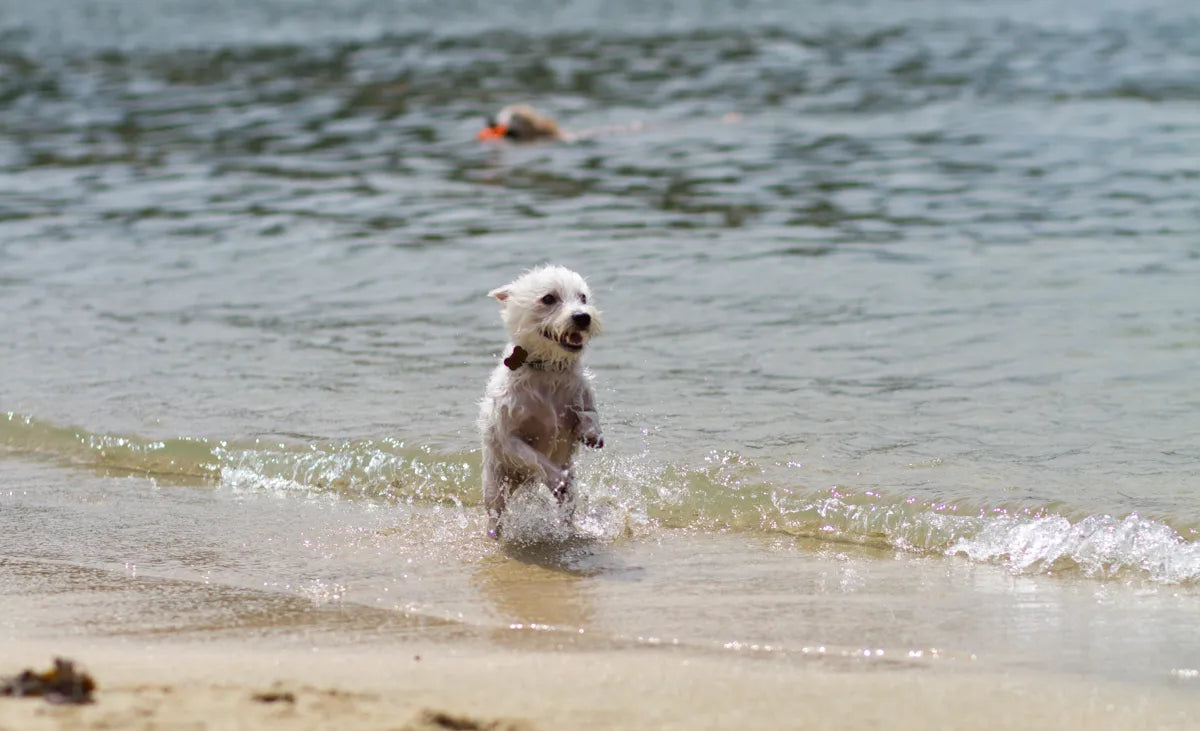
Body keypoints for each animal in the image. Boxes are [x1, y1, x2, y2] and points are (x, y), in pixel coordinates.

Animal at [477, 265, 604, 532]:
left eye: (583, 297)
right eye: (548, 299)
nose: (583, 317)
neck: (547, 369)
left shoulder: (580, 391)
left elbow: (589, 410)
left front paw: (591, 431)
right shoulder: (509, 437)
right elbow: (534, 456)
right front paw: (557, 477)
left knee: (568, 505)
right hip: (494, 483)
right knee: (496, 511)